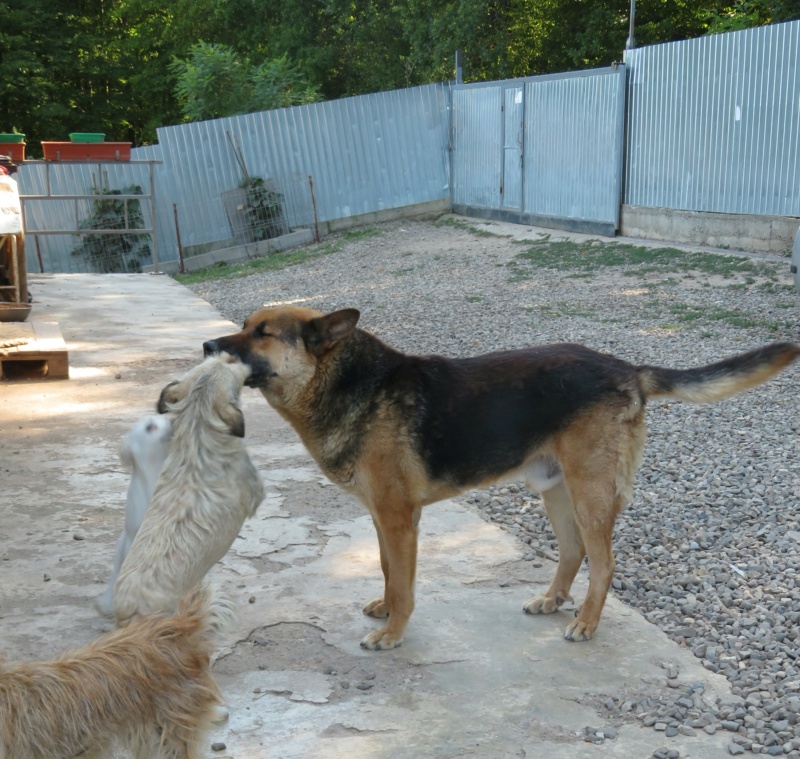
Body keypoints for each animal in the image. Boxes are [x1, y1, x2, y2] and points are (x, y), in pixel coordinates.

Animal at [203, 306, 796, 652]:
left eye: (263, 334)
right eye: (244, 326)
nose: (208, 347)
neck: (347, 382)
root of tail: (627, 368)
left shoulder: (399, 520)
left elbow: (404, 581)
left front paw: (394, 632)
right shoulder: (381, 518)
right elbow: (387, 571)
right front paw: (386, 609)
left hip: (590, 493)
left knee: (603, 562)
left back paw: (585, 622)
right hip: (555, 491)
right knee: (573, 552)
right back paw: (552, 599)